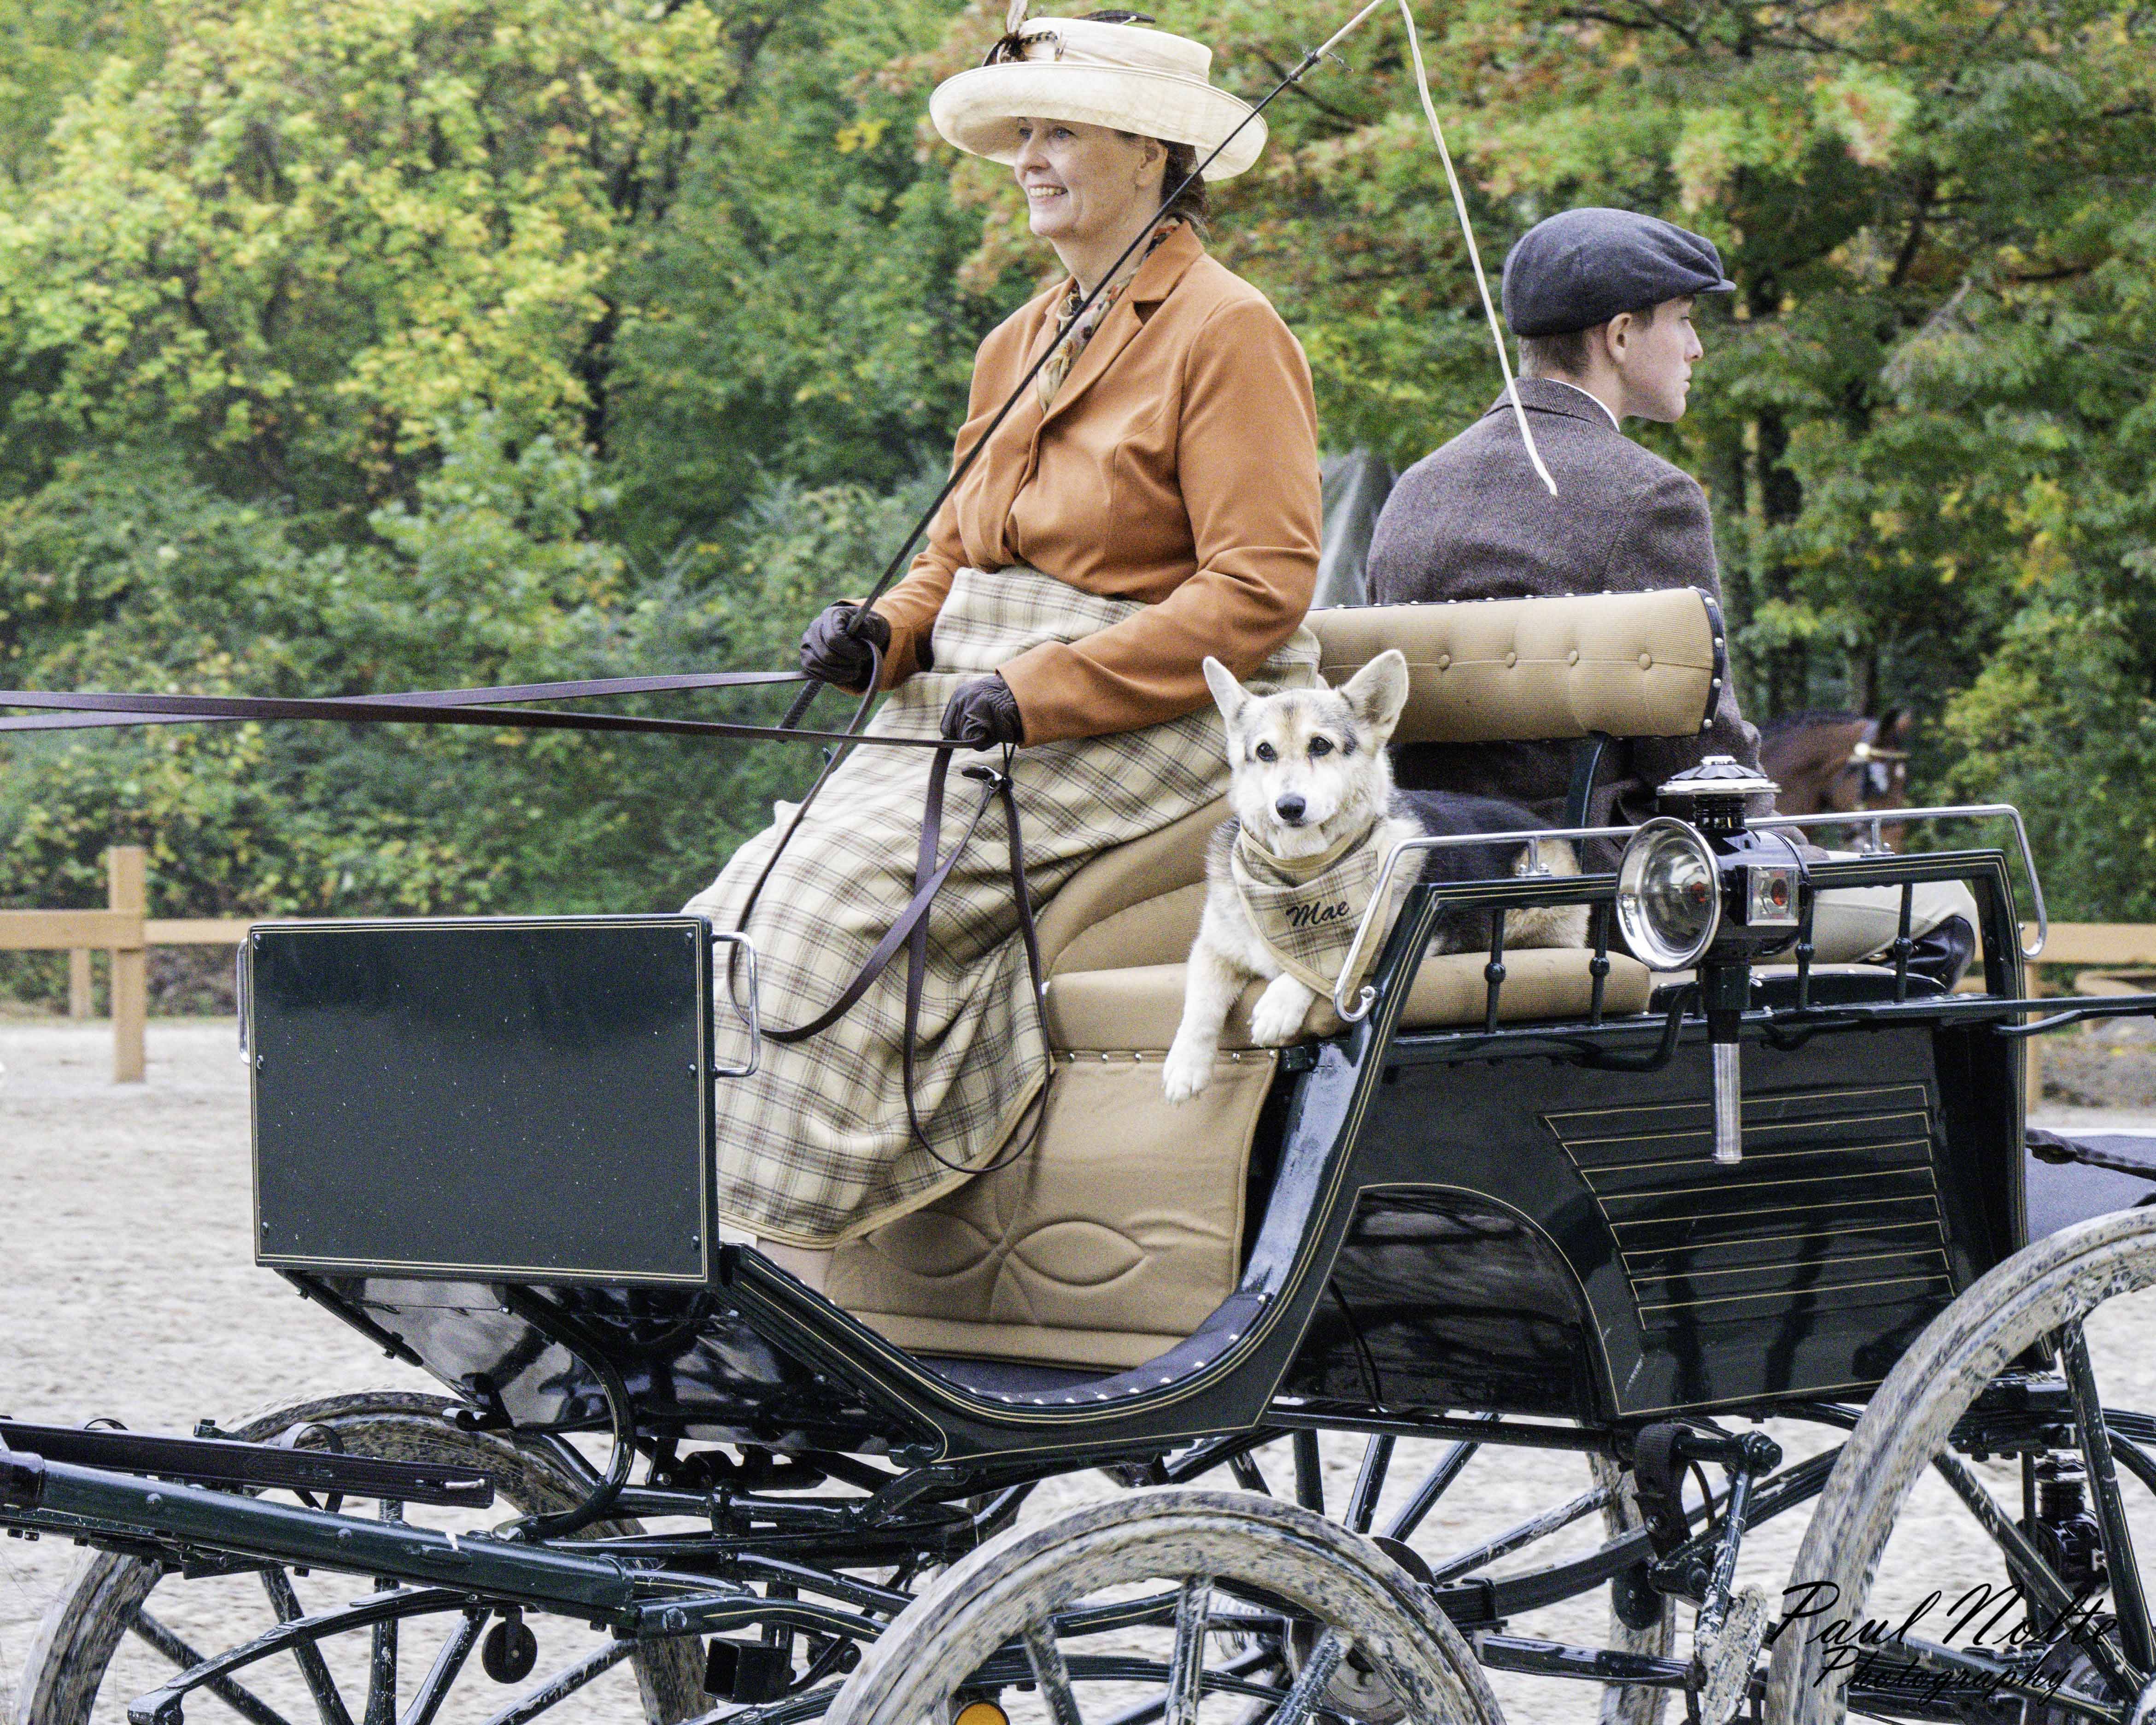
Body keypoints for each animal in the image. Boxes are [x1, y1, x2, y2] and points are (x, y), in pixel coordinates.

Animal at [1164, 647, 1587, 1104]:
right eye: (1264, 752)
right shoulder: (1214, 948)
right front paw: (1185, 1065)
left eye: (1320, 745)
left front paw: (1279, 1002)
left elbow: (1333, 964)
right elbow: (1199, 1003)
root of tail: (1547, 828)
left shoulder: (1381, 949)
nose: (1289, 807)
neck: (1302, 870)